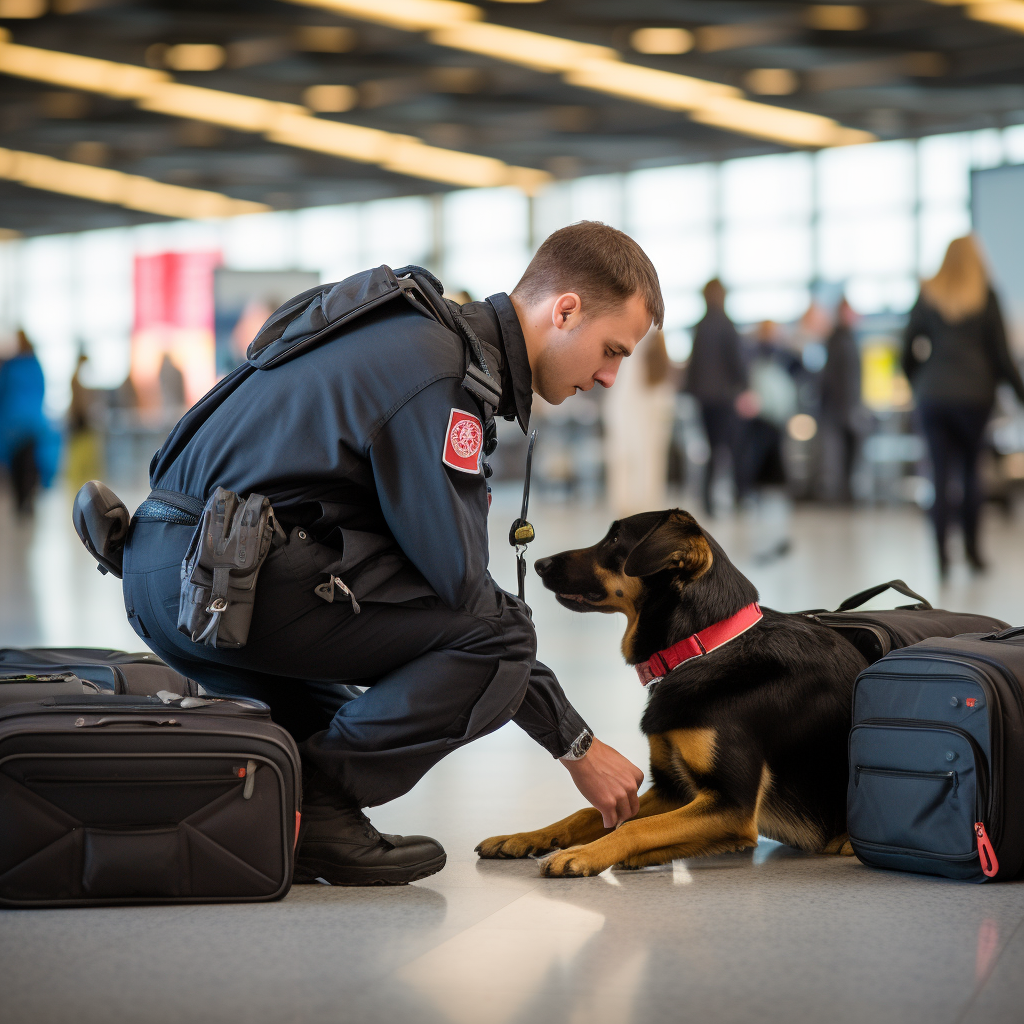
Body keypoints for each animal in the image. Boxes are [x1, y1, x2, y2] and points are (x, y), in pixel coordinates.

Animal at [475, 507, 868, 876]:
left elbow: (633, 828)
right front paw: (524, 838)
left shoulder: (732, 805)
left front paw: (582, 855)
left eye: (615, 539)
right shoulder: (674, 790)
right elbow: (587, 813)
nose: (538, 563)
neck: (702, 645)